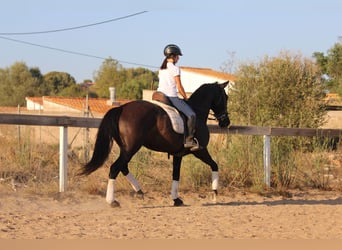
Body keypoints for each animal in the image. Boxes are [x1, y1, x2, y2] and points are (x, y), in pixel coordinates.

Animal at [80, 81, 230, 206]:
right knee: (115, 168)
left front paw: (176, 199)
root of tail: (121, 108)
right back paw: (112, 201)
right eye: (226, 97)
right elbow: (214, 165)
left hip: (126, 149)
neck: (197, 112)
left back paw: (139, 192)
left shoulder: (178, 154)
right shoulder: (200, 150)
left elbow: (176, 175)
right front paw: (215, 193)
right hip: (130, 149)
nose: (226, 122)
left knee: (123, 167)